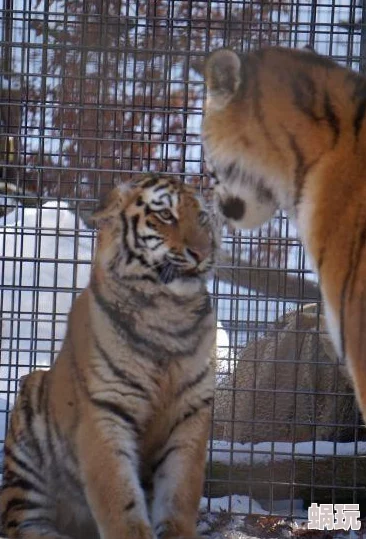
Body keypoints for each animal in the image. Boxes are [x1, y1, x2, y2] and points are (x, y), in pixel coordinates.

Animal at [0, 175, 217, 539]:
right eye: (166, 216)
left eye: (202, 218)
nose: (202, 253)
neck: (169, 313)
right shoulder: (106, 410)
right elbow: (118, 497)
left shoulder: (190, 412)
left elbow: (180, 493)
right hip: (28, 434)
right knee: (22, 523)